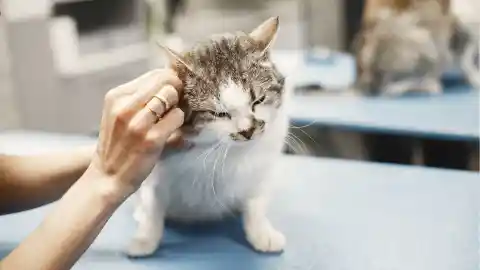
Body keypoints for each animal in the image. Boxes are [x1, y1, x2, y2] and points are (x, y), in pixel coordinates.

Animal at [125, 16, 288, 258]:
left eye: (258, 101)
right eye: (219, 114)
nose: (247, 130)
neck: (223, 150)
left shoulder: (260, 170)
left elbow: (256, 202)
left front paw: (261, 232)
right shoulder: (155, 169)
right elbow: (153, 205)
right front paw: (146, 238)